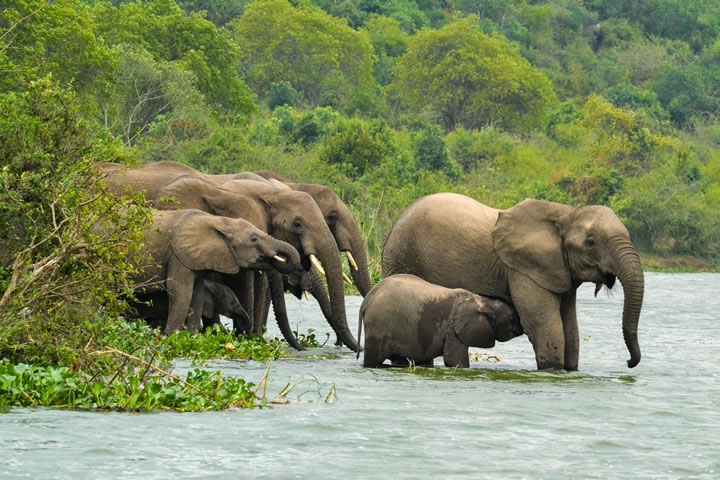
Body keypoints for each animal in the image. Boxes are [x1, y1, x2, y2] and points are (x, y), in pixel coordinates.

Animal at [131, 210, 300, 338]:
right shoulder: (177, 256)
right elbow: (180, 292)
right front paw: (172, 337)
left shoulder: (195, 259)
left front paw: (192, 337)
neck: (219, 221)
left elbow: (196, 295)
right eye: (254, 239)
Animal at [358, 274, 520, 368]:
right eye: (512, 318)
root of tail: (367, 299)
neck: (482, 301)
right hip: (379, 325)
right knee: (373, 360)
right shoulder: (452, 327)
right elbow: (454, 360)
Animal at [382, 193, 648, 370]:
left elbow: (570, 328)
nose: (628, 362)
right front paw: (553, 371)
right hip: (402, 257)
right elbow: (544, 324)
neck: (565, 214)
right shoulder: (521, 270)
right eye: (590, 243)